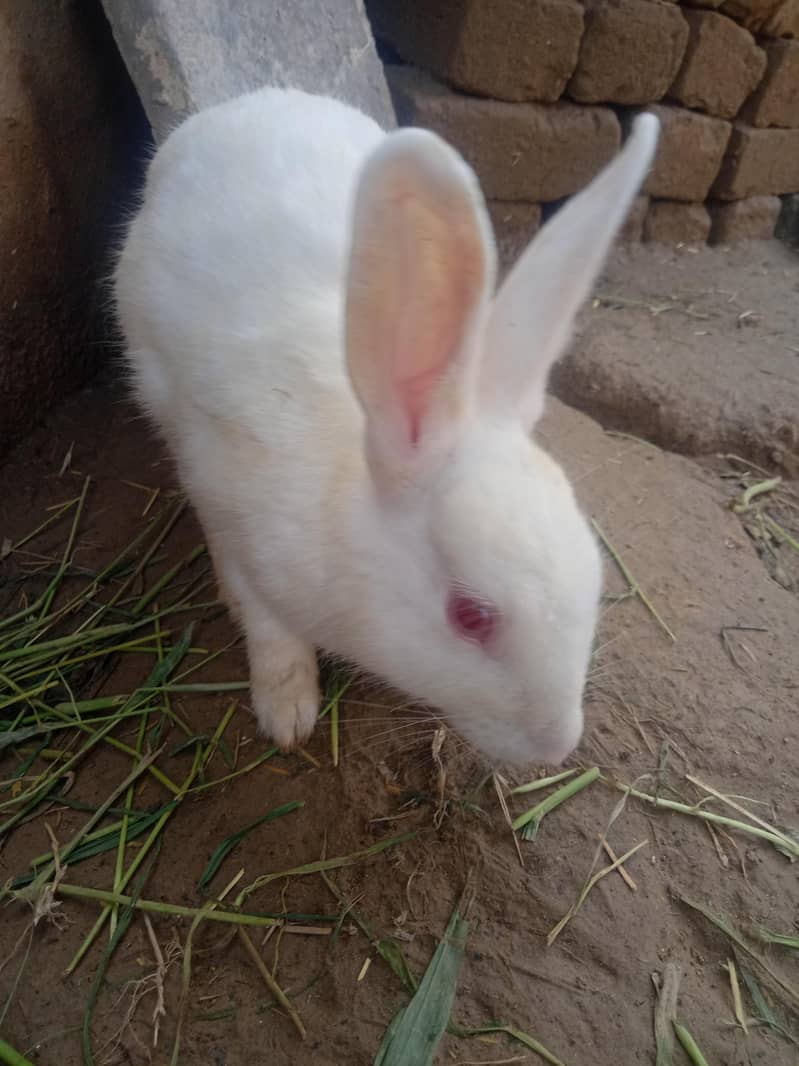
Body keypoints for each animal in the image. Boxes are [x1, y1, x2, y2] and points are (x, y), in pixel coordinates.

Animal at [114, 87, 658, 767]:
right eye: (470, 616)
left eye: (594, 574)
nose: (557, 746)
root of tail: (244, 103)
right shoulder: (236, 513)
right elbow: (270, 630)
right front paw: (288, 713)